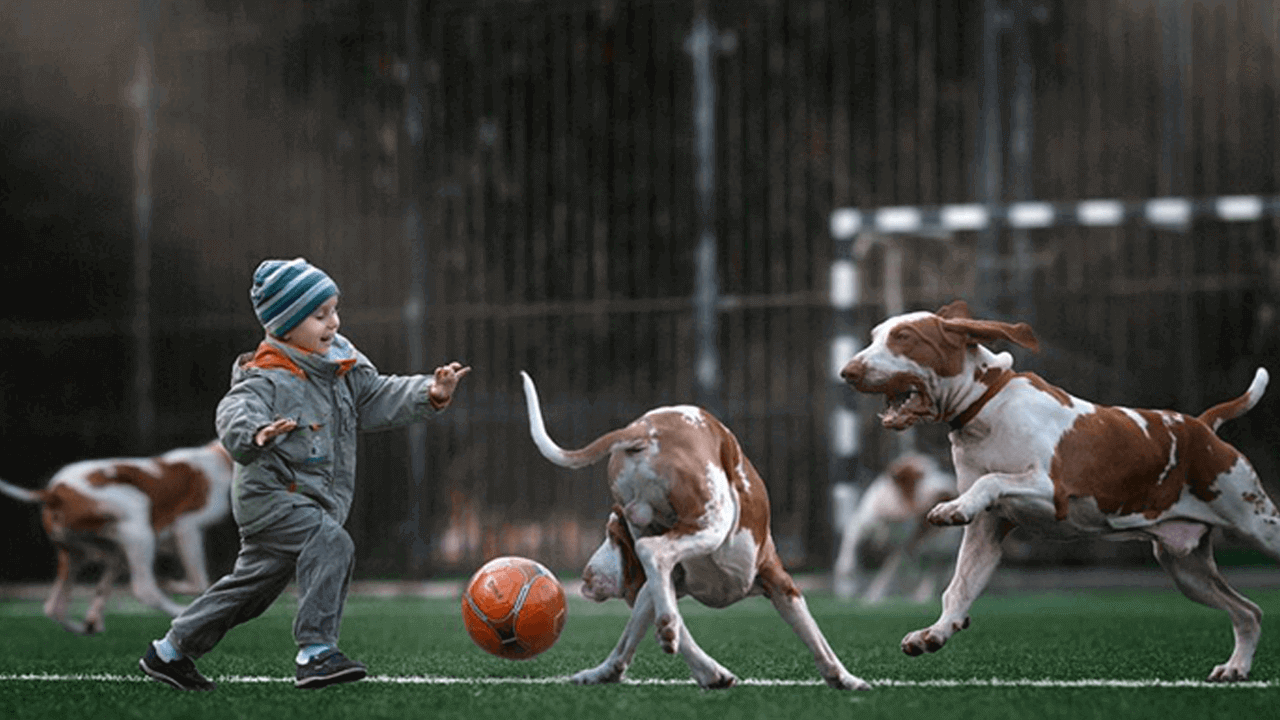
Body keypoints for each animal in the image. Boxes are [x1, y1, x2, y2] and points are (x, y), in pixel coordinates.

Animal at [834, 450, 957, 602]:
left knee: (935, 566)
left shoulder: (899, 549)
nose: (950, 481)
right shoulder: (860, 526)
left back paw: (922, 595)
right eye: (922, 475)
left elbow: (887, 573)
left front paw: (874, 597)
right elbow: (848, 549)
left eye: (938, 469)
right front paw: (846, 581)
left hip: (939, 545)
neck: (894, 512)